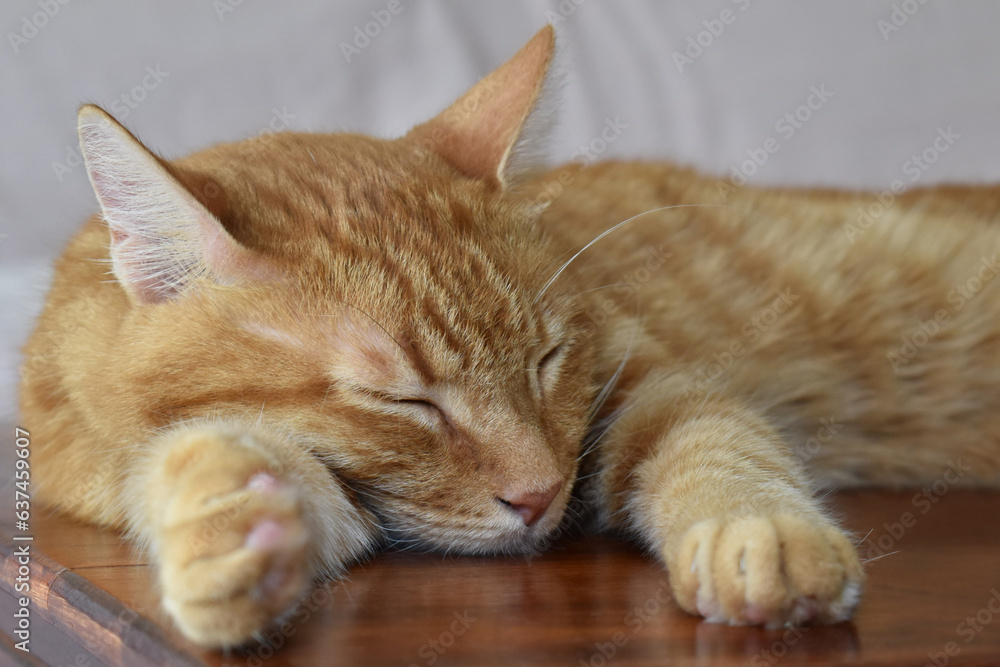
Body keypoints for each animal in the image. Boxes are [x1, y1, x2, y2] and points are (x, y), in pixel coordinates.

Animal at [19, 26, 1000, 648]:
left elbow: (717, 444)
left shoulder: (645, 383)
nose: (539, 496)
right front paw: (231, 523)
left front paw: (761, 535)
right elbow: (209, 462)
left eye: (546, 360)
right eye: (403, 400)